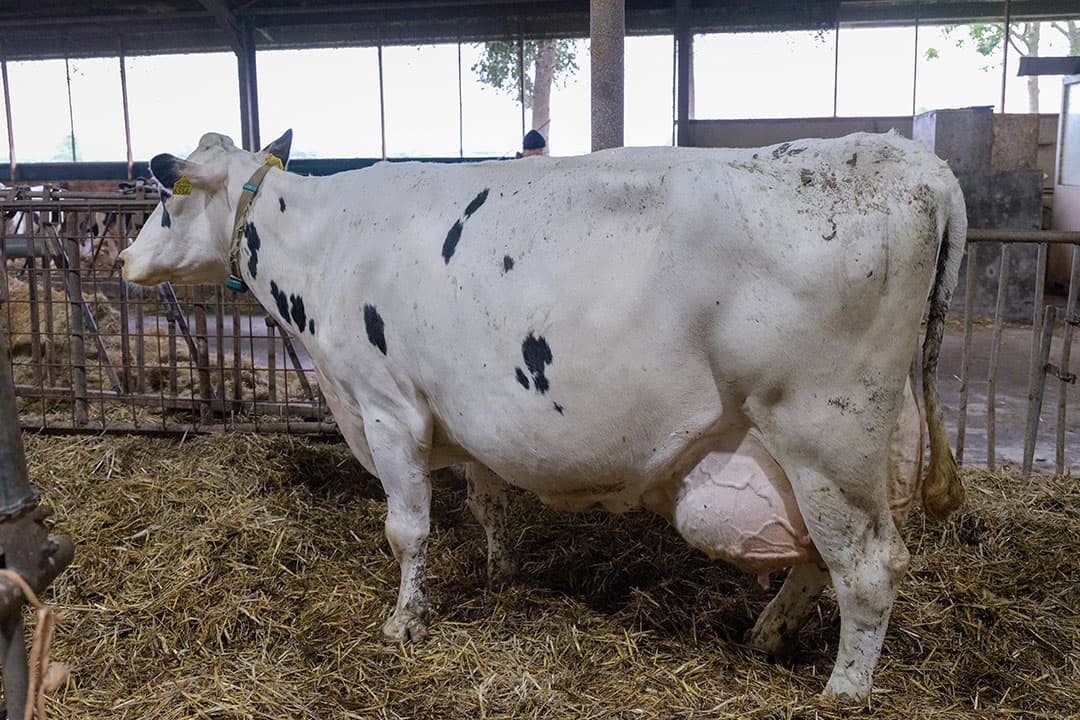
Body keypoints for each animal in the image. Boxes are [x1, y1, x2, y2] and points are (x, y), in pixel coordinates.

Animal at [120, 129, 966, 700]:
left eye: (164, 201)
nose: (122, 260)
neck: (324, 242)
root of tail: (911, 161)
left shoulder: (387, 406)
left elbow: (407, 529)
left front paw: (405, 623)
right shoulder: (464, 417)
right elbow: (490, 504)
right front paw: (501, 577)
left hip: (826, 432)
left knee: (869, 567)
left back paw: (843, 691)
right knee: (824, 558)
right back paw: (769, 634)